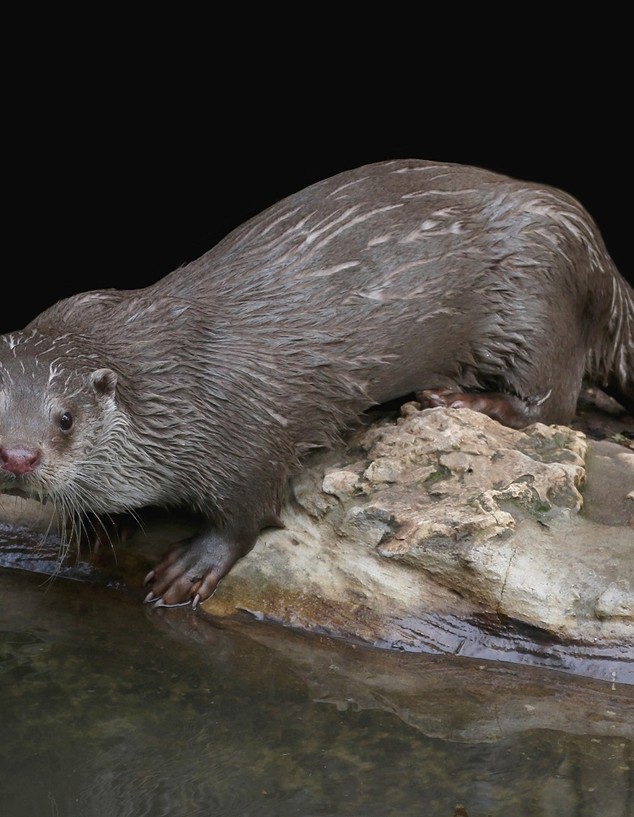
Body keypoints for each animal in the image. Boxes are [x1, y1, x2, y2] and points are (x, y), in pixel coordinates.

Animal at [1, 159, 632, 604]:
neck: (173, 388)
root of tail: (599, 254)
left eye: (65, 417)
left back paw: (463, 399)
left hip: (539, 295)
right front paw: (96, 527)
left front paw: (193, 565)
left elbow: (248, 512)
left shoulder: (243, 434)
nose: (16, 456)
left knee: (552, 401)